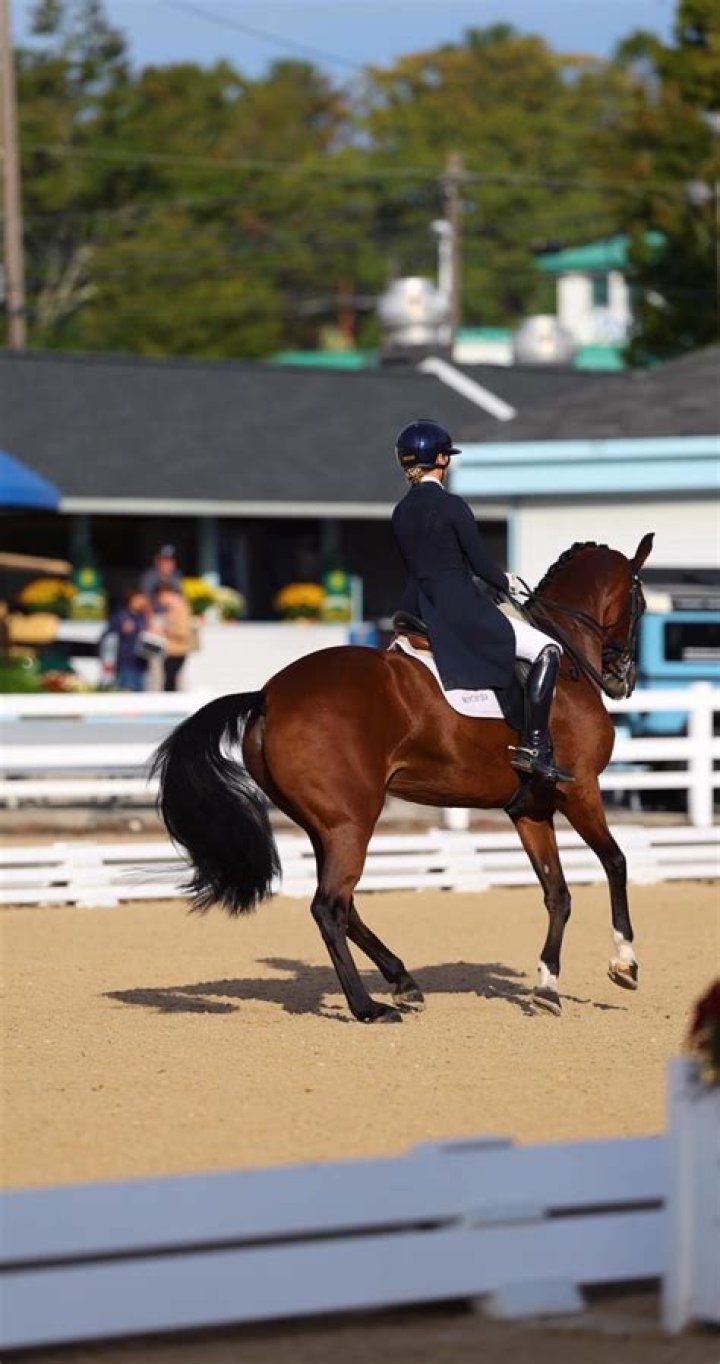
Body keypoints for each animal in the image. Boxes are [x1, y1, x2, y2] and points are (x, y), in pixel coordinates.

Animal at [152, 534, 653, 1023]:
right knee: (329, 906)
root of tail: (268, 695)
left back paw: (403, 981)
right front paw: (624, 964)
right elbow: (616, 862)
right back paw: (368, 1007)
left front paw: (548, 986)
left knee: (345, 904)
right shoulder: (580, 788)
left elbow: (557, 893)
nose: (623, 679)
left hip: (326, 826)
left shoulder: (531, 809)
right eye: (641, 605)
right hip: (352, 823)